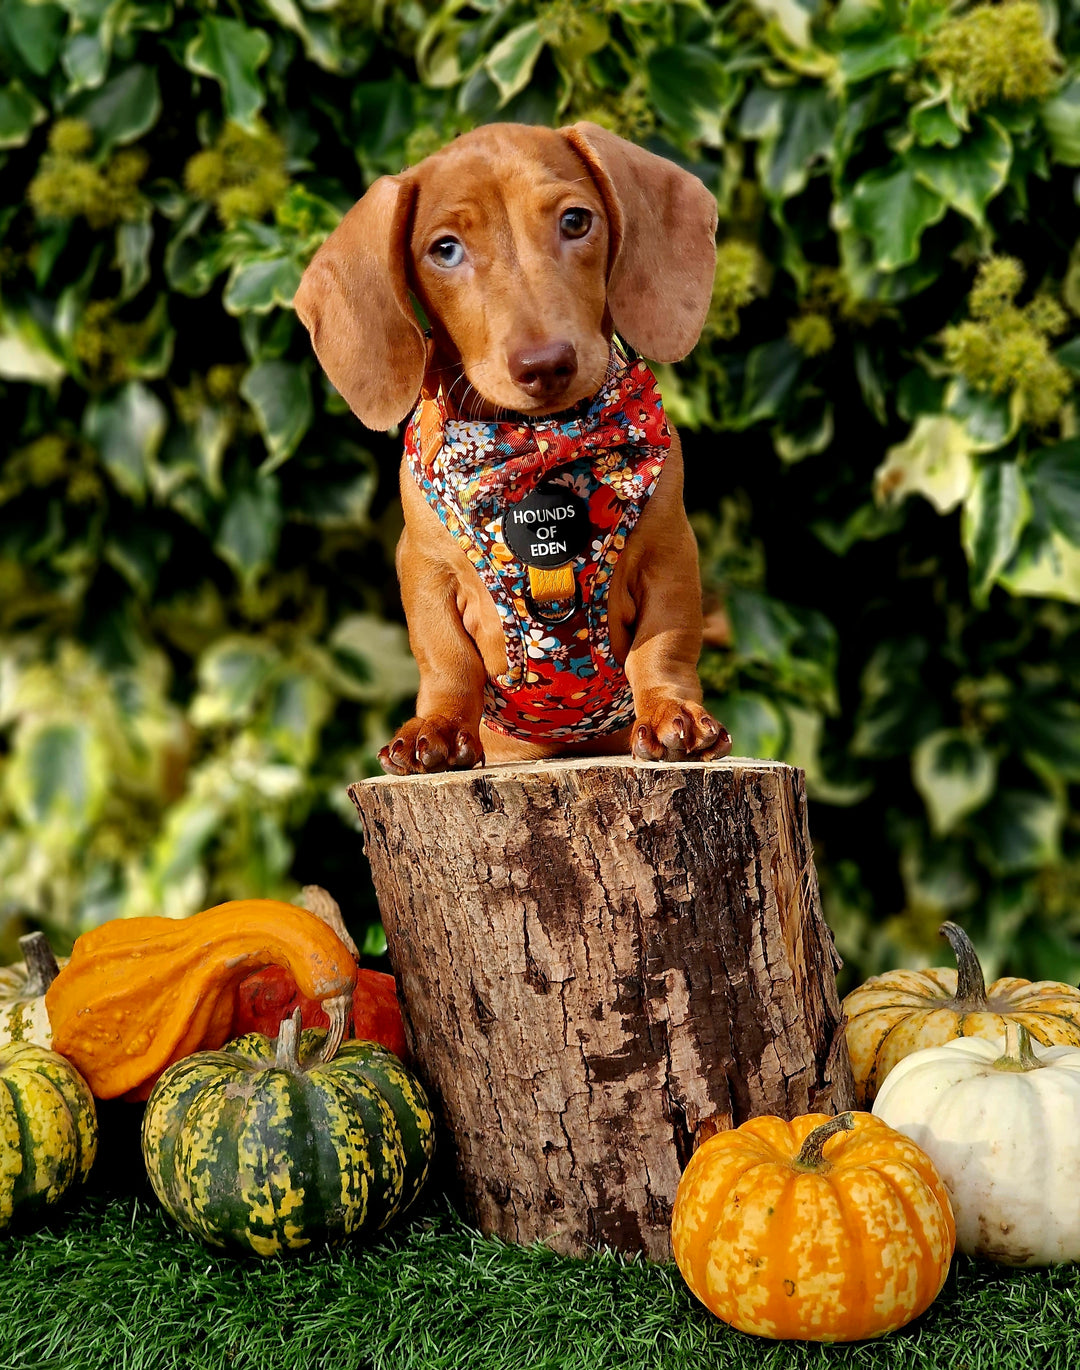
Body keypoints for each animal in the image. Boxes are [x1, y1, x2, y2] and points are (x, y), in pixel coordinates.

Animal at [300, 123, 729, 778]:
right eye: (445, 250)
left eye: (576, 221)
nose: (546, 364)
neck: (535, 441)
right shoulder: (422, 567)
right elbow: (446, 660)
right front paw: (436, 730)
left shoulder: (670, 550)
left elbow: (664, 645)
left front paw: (671, 713)